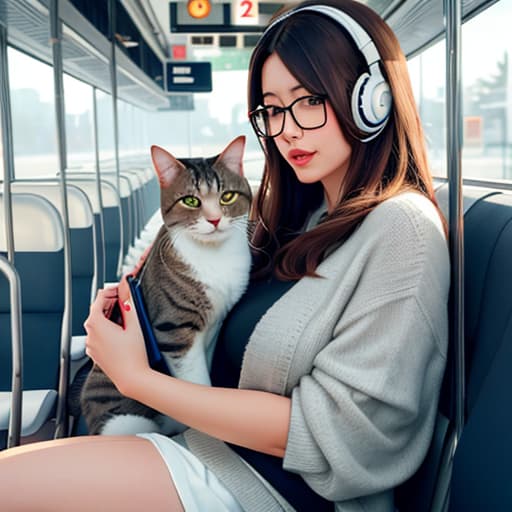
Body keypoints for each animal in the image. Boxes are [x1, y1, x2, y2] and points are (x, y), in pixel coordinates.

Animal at [79, 136, 252, 436]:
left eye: (227, 196)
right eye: (191, 200)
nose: (215, 220)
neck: (215, 255)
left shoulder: (214, 325)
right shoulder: (174, 330)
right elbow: (195, 383)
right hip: (122, 415)